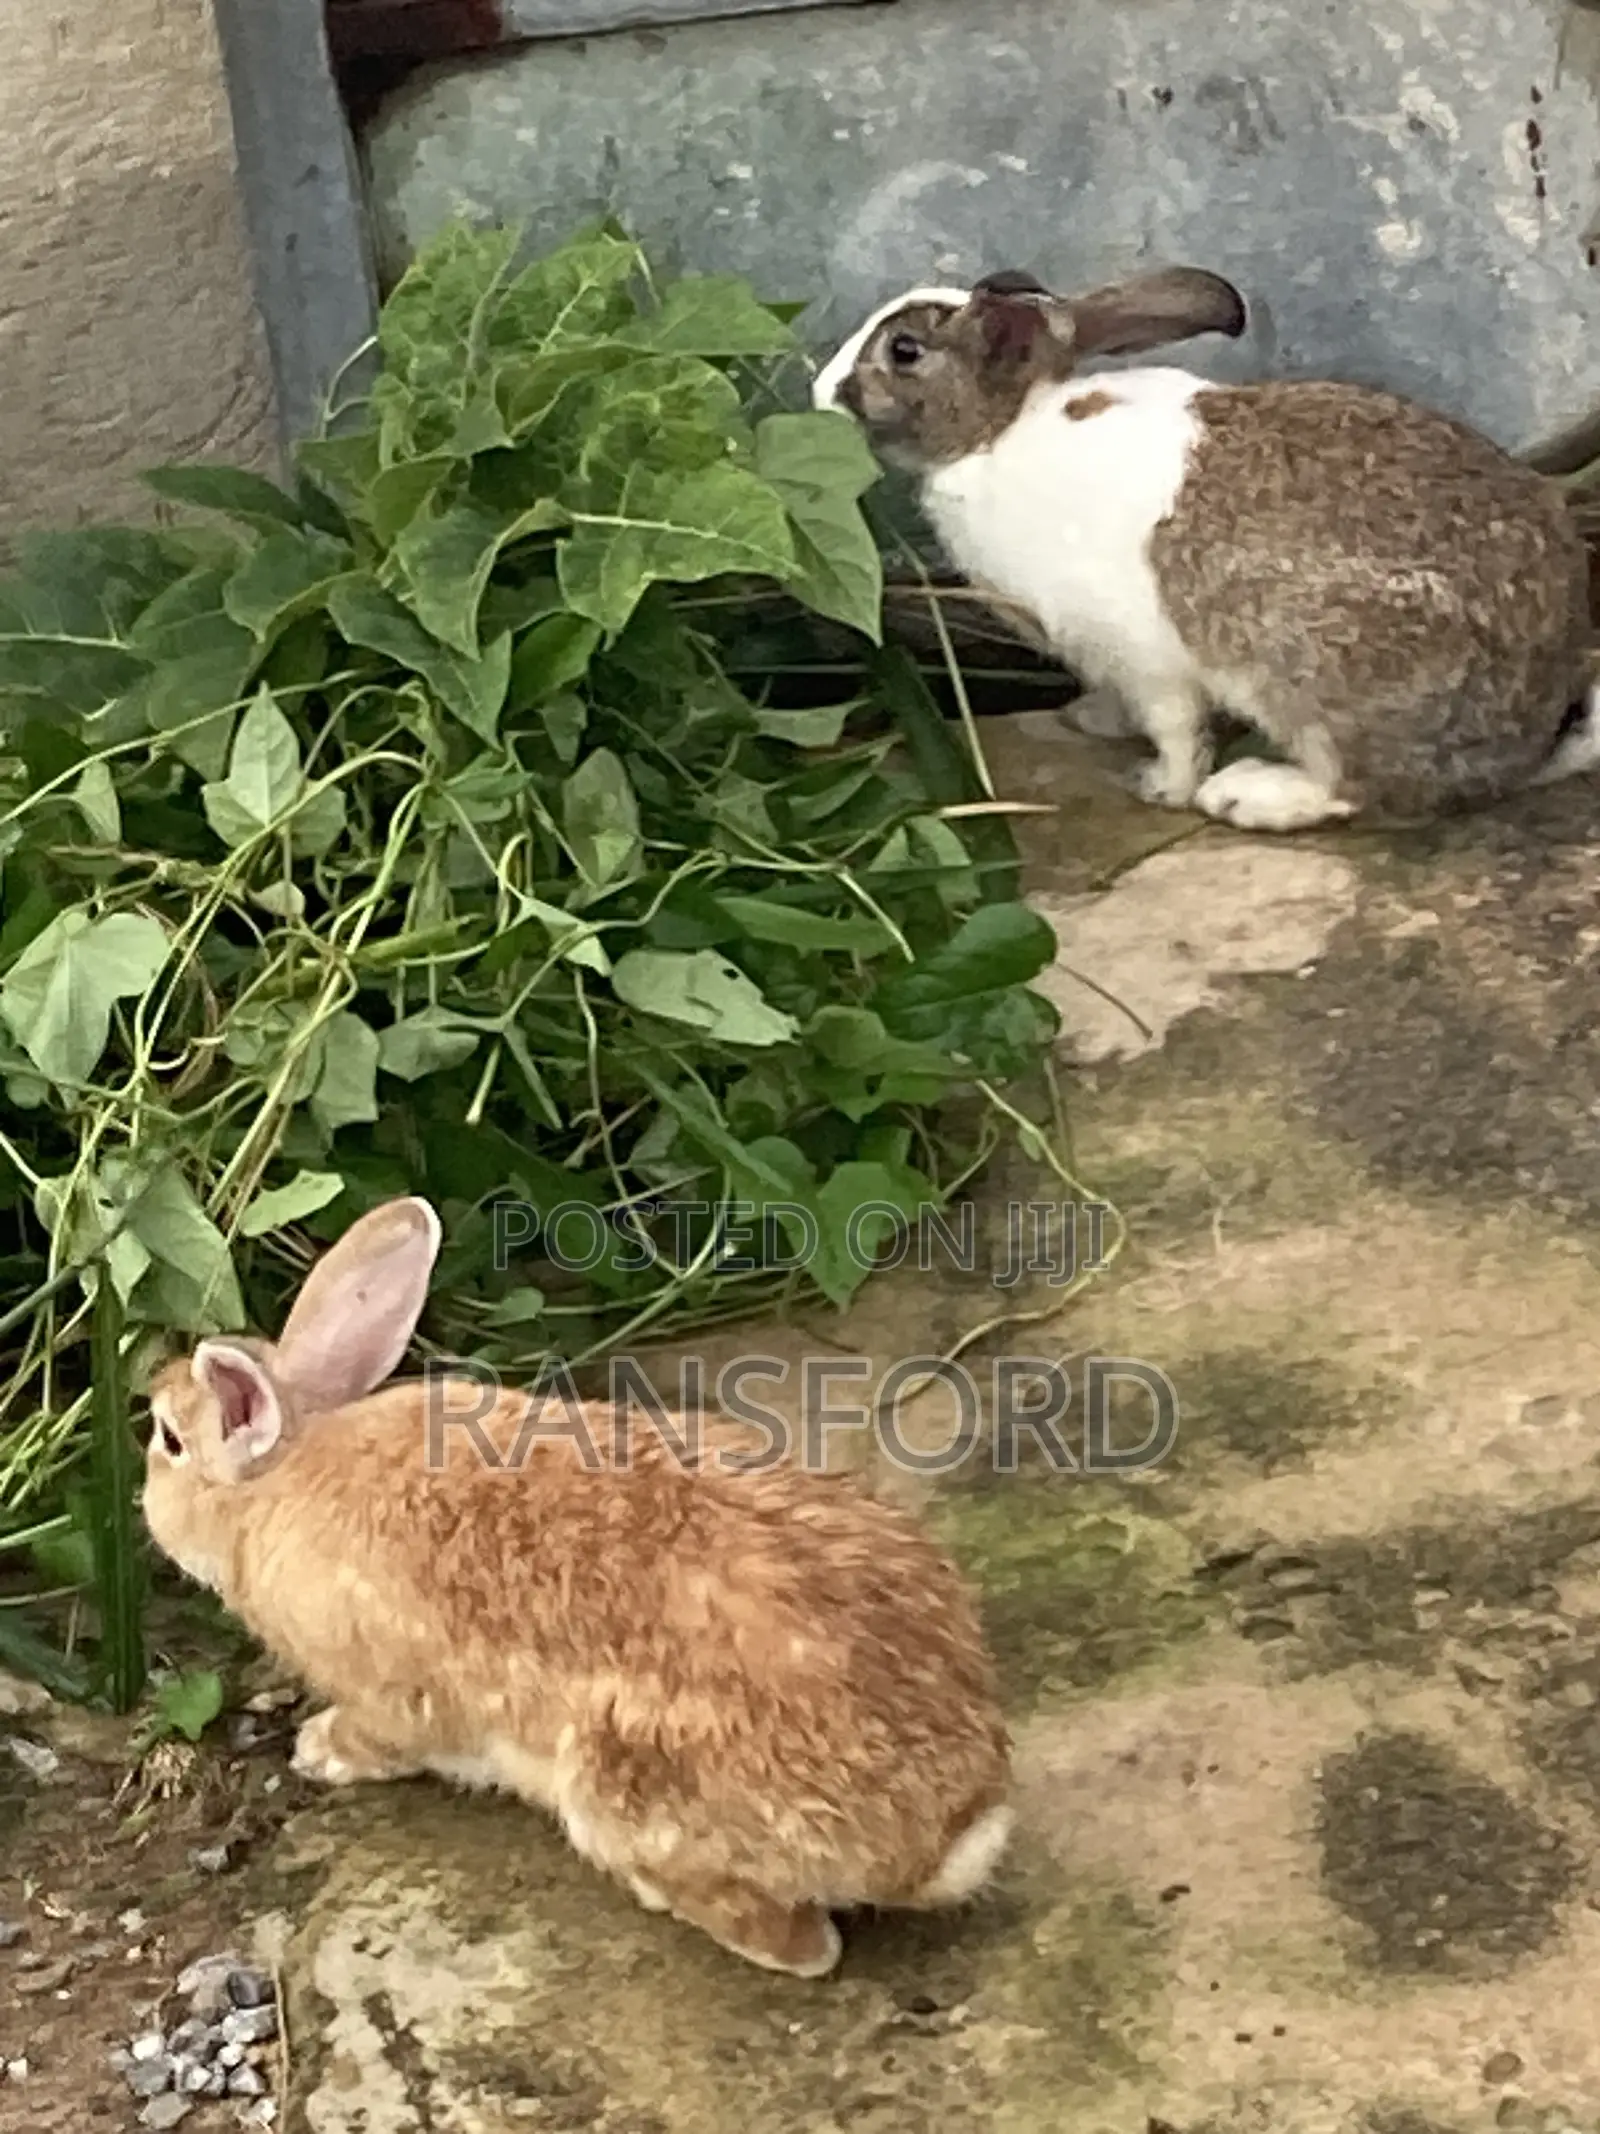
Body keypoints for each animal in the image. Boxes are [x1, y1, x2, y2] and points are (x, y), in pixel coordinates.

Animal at [140, 1196, 1013, 1979]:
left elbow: (386, 1735)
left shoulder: (391, 1692)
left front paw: (318, 1749)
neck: (280, 1473)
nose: (146, 1510)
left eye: (171, 1441)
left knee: (801, 1946)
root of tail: (950, 1831)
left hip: (618, 1789)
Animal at [812, 267, 1600, 831]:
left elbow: (1175, 730)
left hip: (1317, 670)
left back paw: (1250, 796)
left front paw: (1160, 787)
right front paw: (1091, 720)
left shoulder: (1146, 657)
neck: (998, 434)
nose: (820, 391)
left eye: (904, 352)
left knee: (1362, 787)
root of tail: (1532, 735)